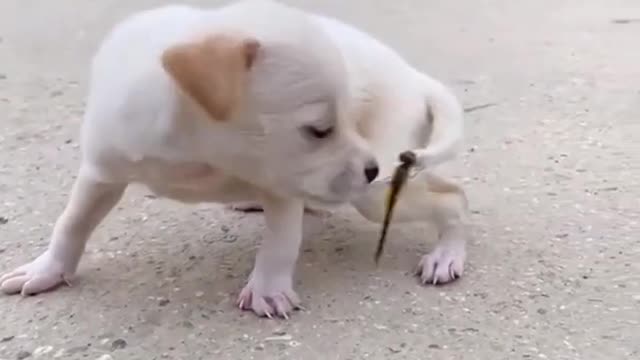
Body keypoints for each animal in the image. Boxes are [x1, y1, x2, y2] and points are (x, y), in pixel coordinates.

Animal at [1, 1, 470, 320]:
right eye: (319, 130)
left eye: (346, 119)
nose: (372, 168)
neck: (199, 151)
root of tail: (414, 76)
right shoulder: (102, 173)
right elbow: (72, 224)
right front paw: (48, 269)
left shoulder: (281, 186)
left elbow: (281, 243)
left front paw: (267, 289)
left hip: (375, 193)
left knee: (454, 199)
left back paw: (447, 254)